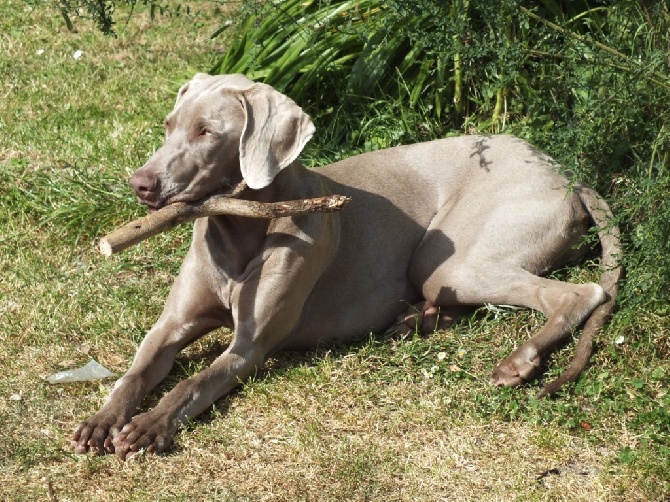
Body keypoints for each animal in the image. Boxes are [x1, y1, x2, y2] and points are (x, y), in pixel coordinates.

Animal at [71, 72, 624, 460]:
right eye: (168, 127)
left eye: (207, 132)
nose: (140, 184)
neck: (239, 227)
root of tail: (564, 171)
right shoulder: (170, 326)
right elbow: (135, 372)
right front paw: (103, 419)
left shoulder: (250, 348)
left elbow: (193, 384)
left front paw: (149, 426)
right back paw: (418, 319)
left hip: (445, 261)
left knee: (580, 293)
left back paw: (519, 359)